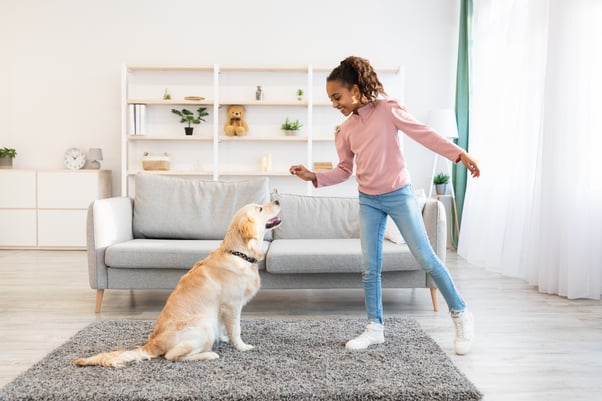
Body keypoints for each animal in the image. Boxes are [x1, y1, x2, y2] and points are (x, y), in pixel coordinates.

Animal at [74, 200, 280, 366]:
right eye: (260, 208)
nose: (277, 200)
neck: (239, 254)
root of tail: (152, 344)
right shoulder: (232, 305)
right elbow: (236, 329)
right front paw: (242, 346)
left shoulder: (223, 310)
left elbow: (225, 326)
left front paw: (224, 337)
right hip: (203, 325)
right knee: (172, 356)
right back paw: (209, 355)